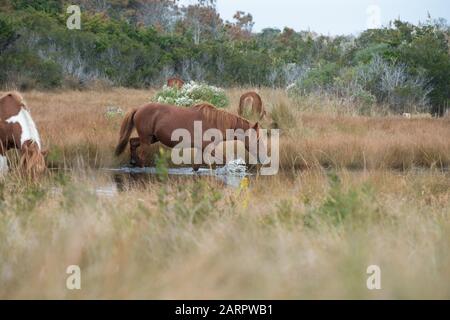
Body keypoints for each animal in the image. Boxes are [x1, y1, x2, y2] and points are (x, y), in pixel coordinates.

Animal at [116, 103, 262, 169]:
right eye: (258, 140)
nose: (261, 158)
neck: (215, 121)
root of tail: (138, 109)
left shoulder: (200, 149)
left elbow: (196, 166)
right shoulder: (208, 148)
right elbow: (224, 160)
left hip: (151, 138)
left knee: (132, 142)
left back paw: (132, 161)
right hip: (146, 140)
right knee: (141, 155)